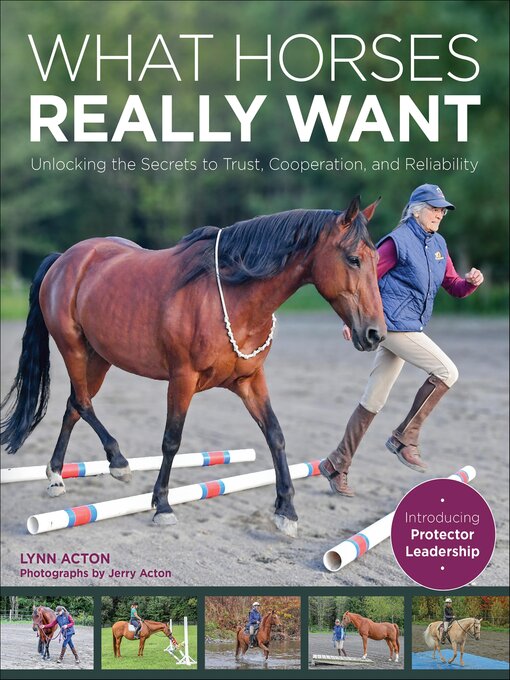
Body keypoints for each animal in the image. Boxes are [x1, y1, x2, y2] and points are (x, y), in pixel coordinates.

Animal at [1, 197, 385, 535]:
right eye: (353, 259)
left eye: (375, 257)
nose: (375, 333)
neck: (232, 295)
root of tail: (65, 259)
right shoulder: (182, 379)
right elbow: (172, 440)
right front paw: (162, 506)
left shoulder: (250, 379)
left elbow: (275, 435)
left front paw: (286, 511)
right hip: (74, 349)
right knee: (82, 402)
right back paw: (118, 463)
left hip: (99, 358)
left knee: (74, 405)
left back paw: (56, 476)